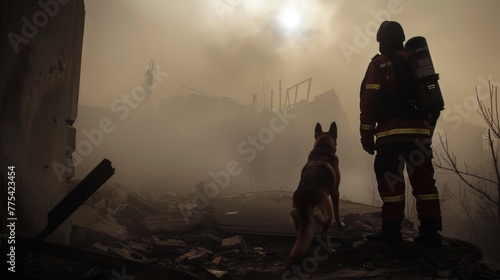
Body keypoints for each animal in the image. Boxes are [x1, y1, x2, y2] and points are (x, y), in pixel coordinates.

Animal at [290, 121, 344, 262]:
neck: (322, 148)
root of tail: (305, 200)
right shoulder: (336, 192)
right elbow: (338, 212)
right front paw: (340, 224)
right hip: (327, 212)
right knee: (324, 236)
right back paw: (330, 251)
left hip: (298, 219)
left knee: (303, 236)